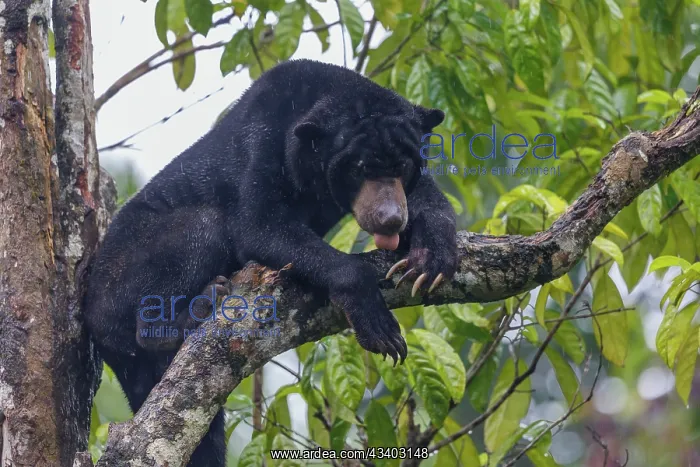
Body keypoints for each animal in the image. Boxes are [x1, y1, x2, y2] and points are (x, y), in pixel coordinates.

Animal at [83, 58, 458, 466]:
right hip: (121, 277)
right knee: (201, 228)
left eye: (402, 166)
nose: (390, 218)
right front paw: (382, 330)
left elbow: (426, 198)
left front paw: (430, 257)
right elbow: (257, 224)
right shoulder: (261, 138)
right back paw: (198, 306)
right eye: (359, 169)